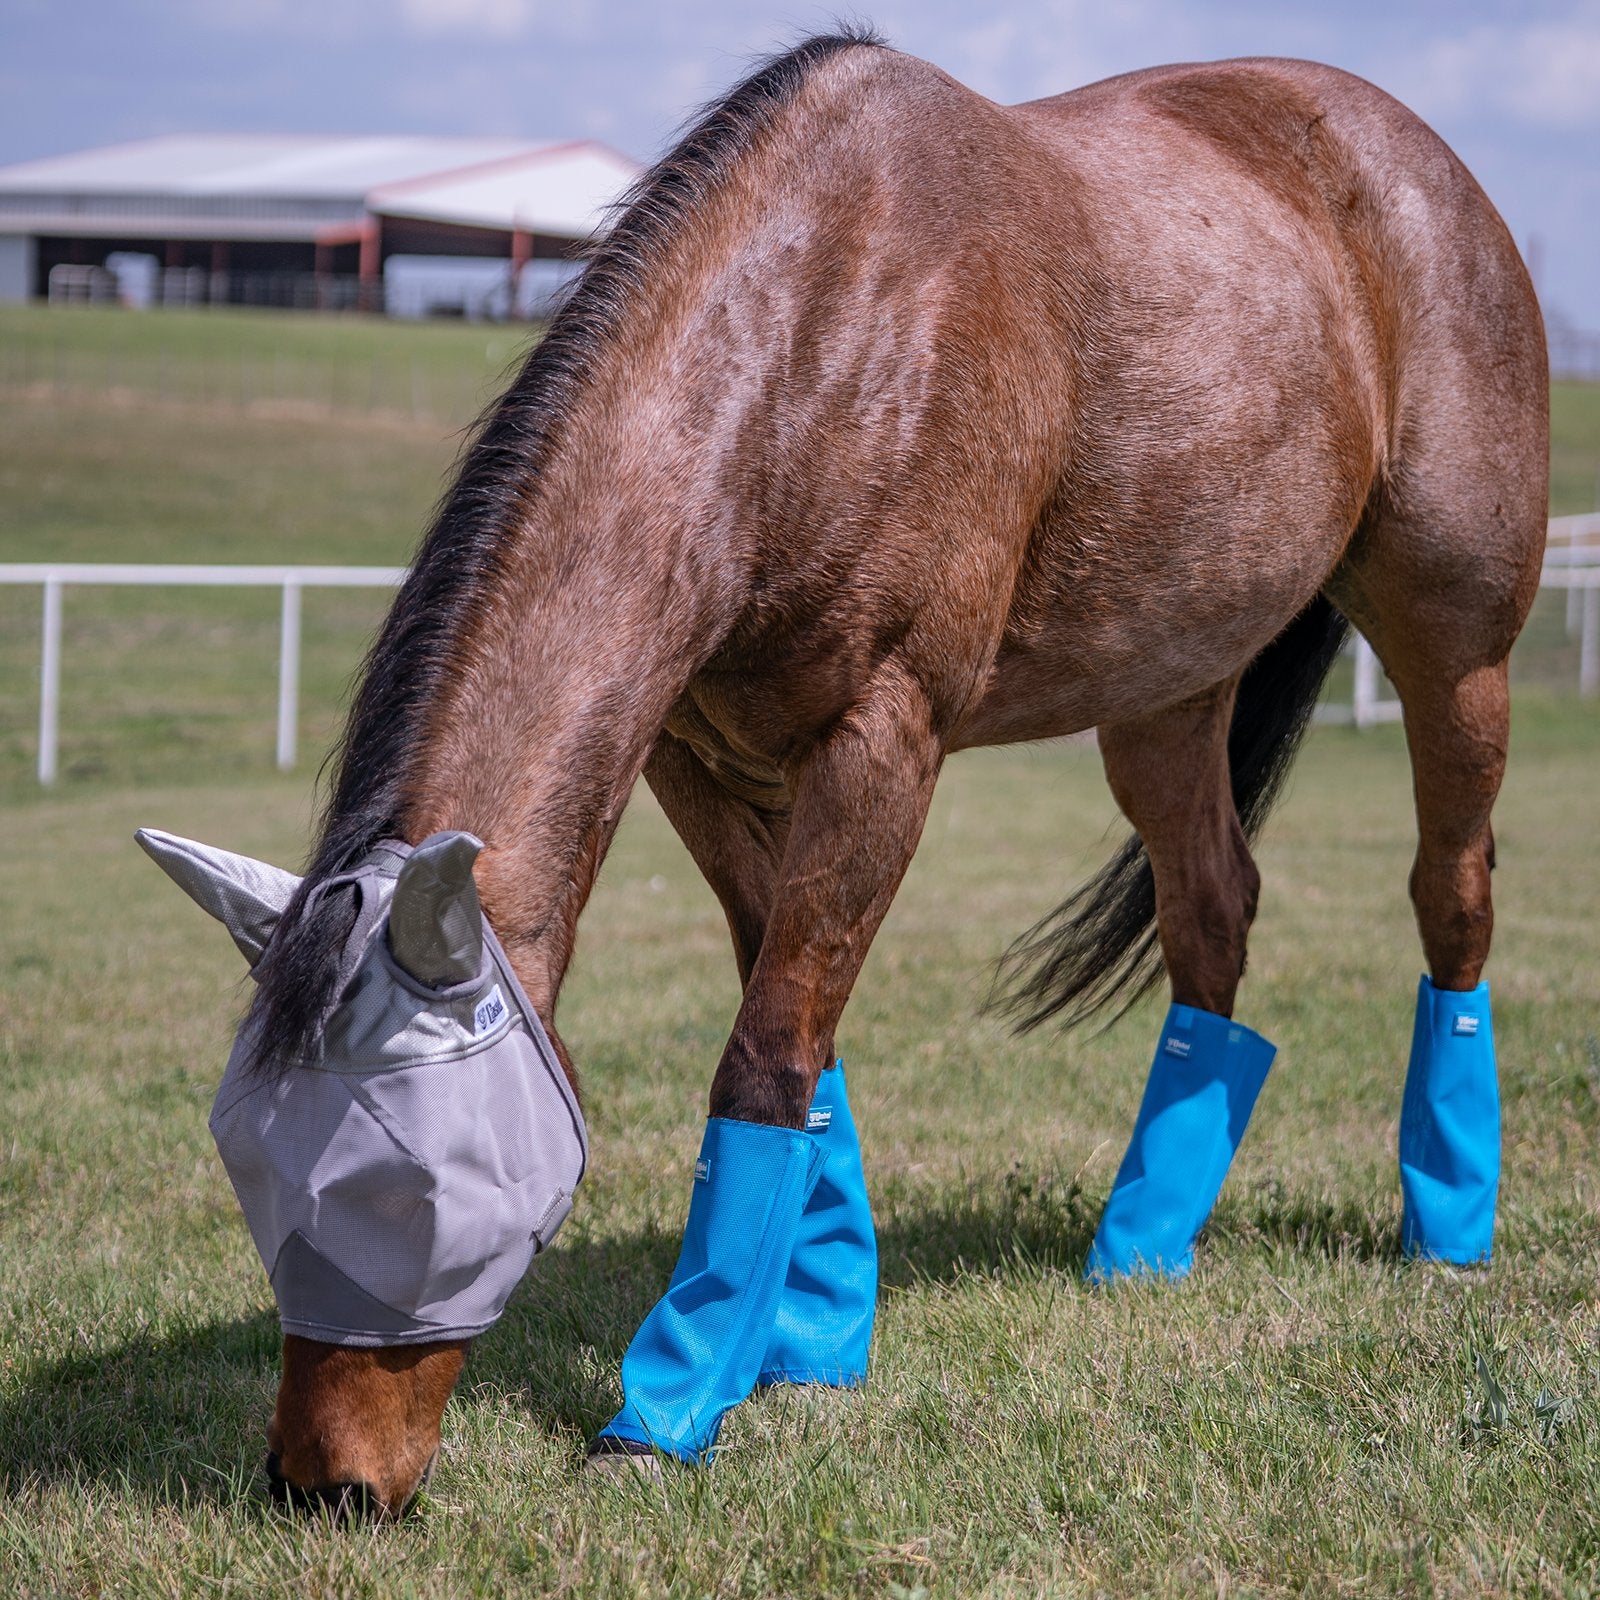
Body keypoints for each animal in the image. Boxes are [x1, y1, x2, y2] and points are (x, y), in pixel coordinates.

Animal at [164, 31, 1548, 1513]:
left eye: (408, 1182)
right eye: (247, 1153)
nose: (320, 1483)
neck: (822, 334)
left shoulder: (888, 738)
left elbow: (768, 1054)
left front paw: (675, 1394)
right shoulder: (698, 758)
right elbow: (794, 1030)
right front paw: (815, 1330)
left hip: (1453, 649)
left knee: (1454, 890)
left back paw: (1447, 1223)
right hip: (1169, 689)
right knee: (1212, 912)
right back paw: (1142, 1240)